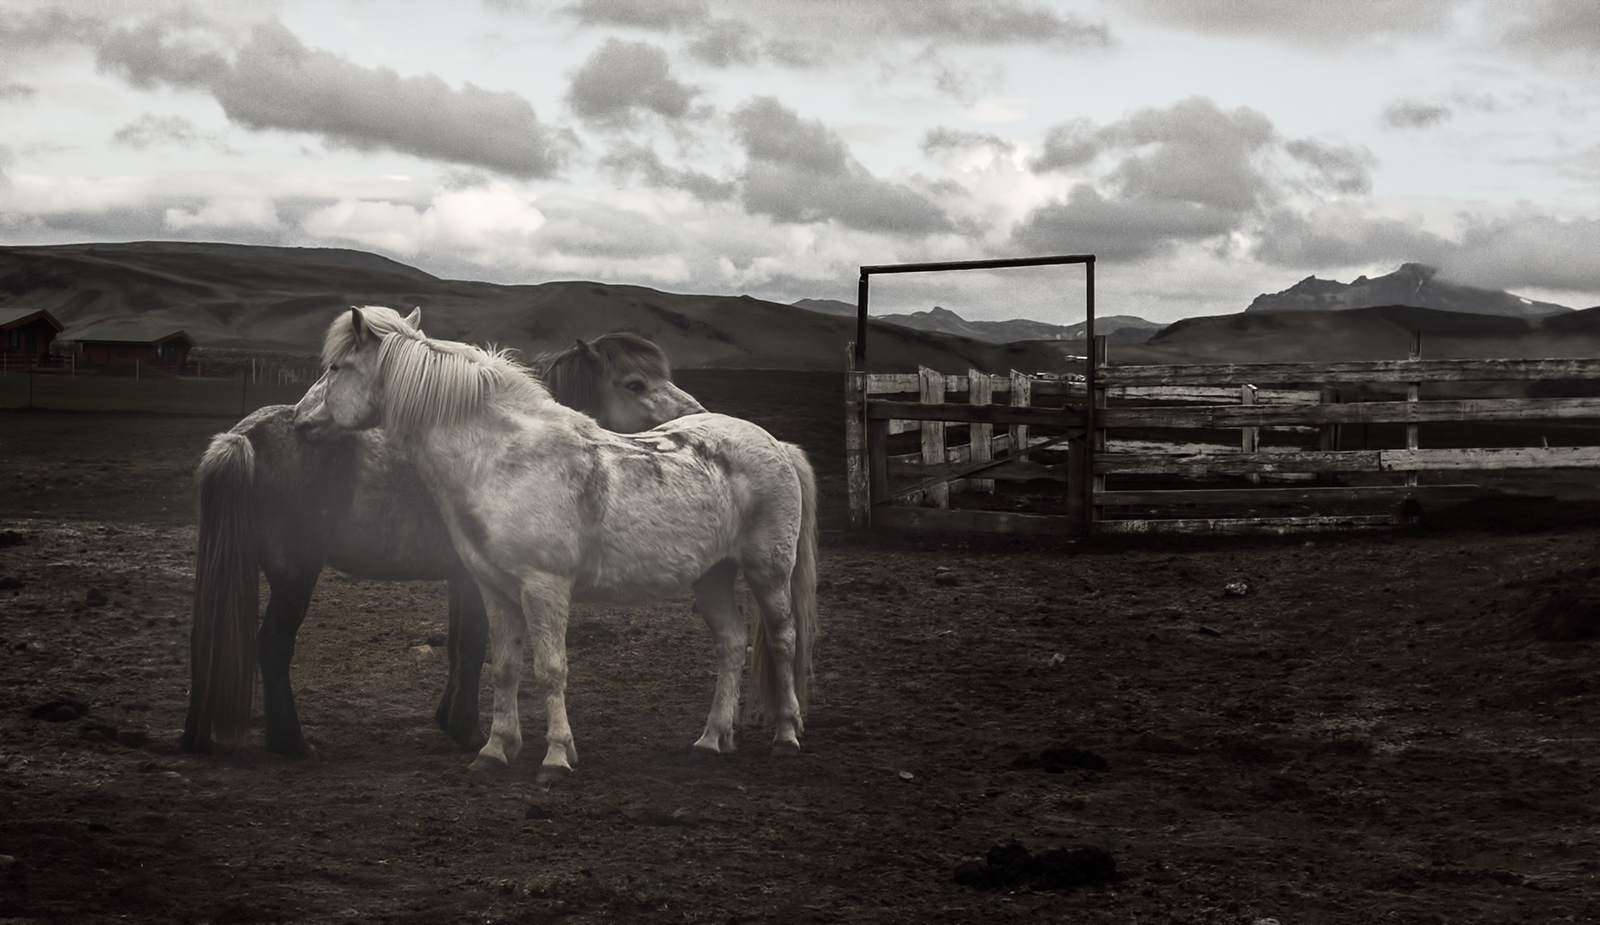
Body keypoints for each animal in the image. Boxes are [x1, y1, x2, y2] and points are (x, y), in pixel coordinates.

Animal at [182, 312, 704, 759]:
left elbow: (458, 647)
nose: (697, 415)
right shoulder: (474, 578)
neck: (498, 447)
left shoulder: (464, 576)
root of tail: (244, 436)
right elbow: (473, 646)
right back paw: (291, 742)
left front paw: (453, 721)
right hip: (296, 574)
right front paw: (470, 732)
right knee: (273, 645)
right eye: (635, 383)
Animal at [297, 306, 818, 782]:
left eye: (336, 367)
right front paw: (494, 751)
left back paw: (786, 735)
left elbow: (550, 669)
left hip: (769, 570)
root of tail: (776, 444)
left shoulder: (544, 587)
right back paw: (711, 740)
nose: (300, 419)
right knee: (731, 644)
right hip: (712, 575)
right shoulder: (494, 588)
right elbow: (504, 666)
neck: (503, 461)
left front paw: (555, 758)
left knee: (782, 640)